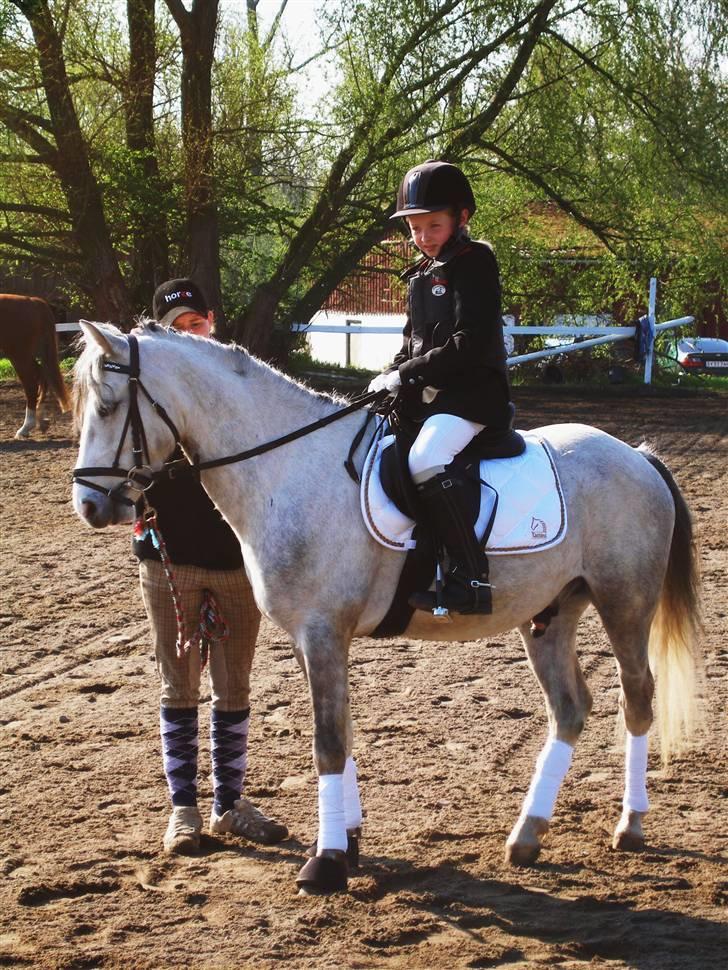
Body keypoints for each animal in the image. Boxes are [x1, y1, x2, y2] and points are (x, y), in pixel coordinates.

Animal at [71, 321, 702, 895]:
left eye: (108, 405)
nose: (89, 506)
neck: (289, 468)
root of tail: (636, 456)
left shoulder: (323, 632)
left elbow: (328, 742)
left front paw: (325, 863)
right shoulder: (309, 638)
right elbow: (343, 732)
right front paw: (348, 843)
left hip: (624, 602)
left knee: (637, 699)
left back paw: (631, 825)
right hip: (550, 615)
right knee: (570, 709)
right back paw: (527, 836)